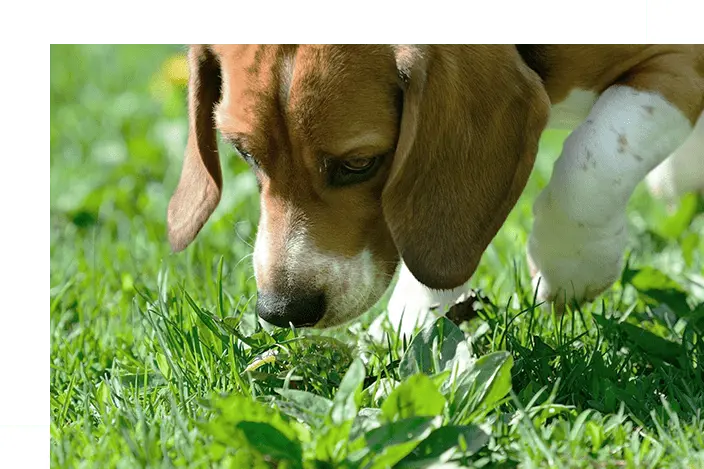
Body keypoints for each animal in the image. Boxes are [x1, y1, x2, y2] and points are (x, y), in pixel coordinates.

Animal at [166, 44, 704, 334]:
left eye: (359, 164)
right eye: (245, 154)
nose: (282, 311)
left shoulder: (678, 63)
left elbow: (592, 160)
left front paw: (570, 269)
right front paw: (413, 320)